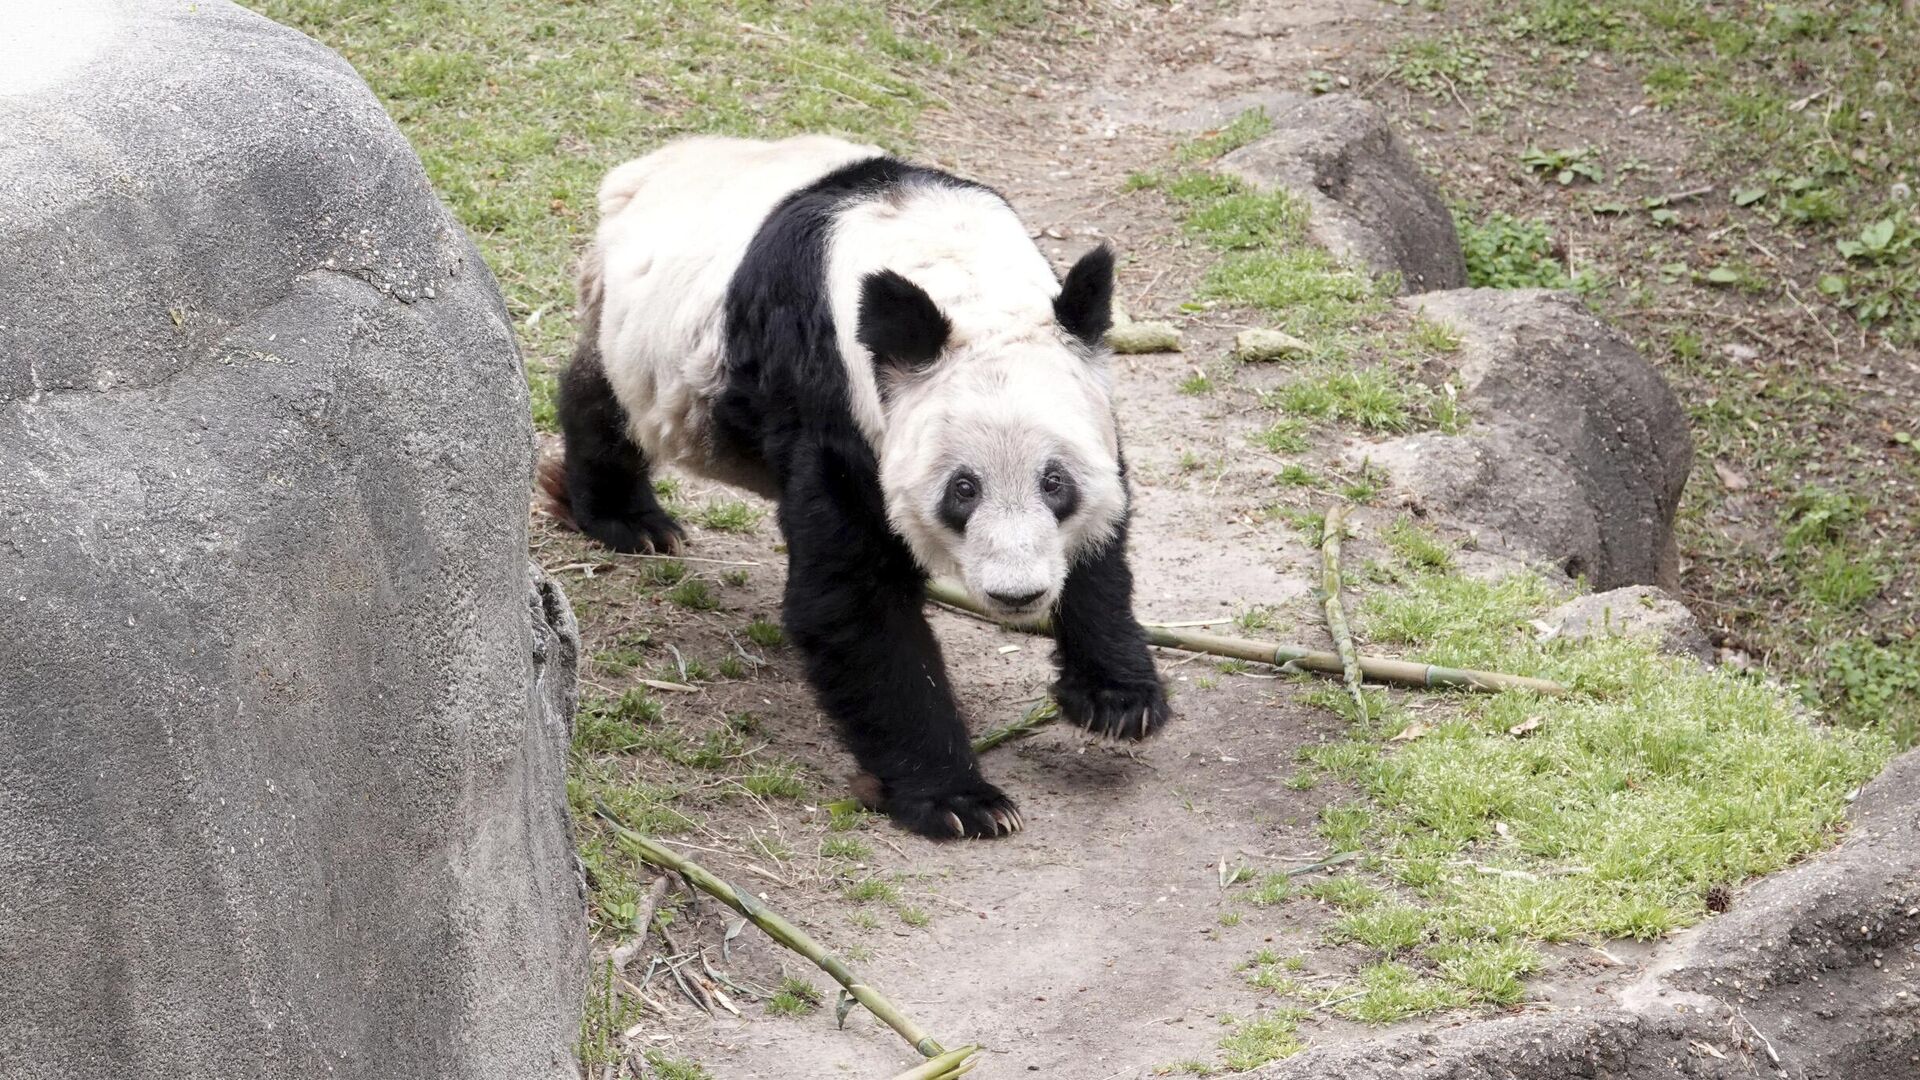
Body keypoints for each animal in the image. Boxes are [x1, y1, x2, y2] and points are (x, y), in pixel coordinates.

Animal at [541, 134, 1167, 837]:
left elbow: (1103, 539)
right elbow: (852, 597)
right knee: (604, 399)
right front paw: (958, 800)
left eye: (1055, 484)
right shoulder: (830, 396)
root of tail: (645, 169)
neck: (954, 268)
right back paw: (628, 519)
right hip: (637, 332)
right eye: (963, 490)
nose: (1017, 594)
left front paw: (1118, 697)